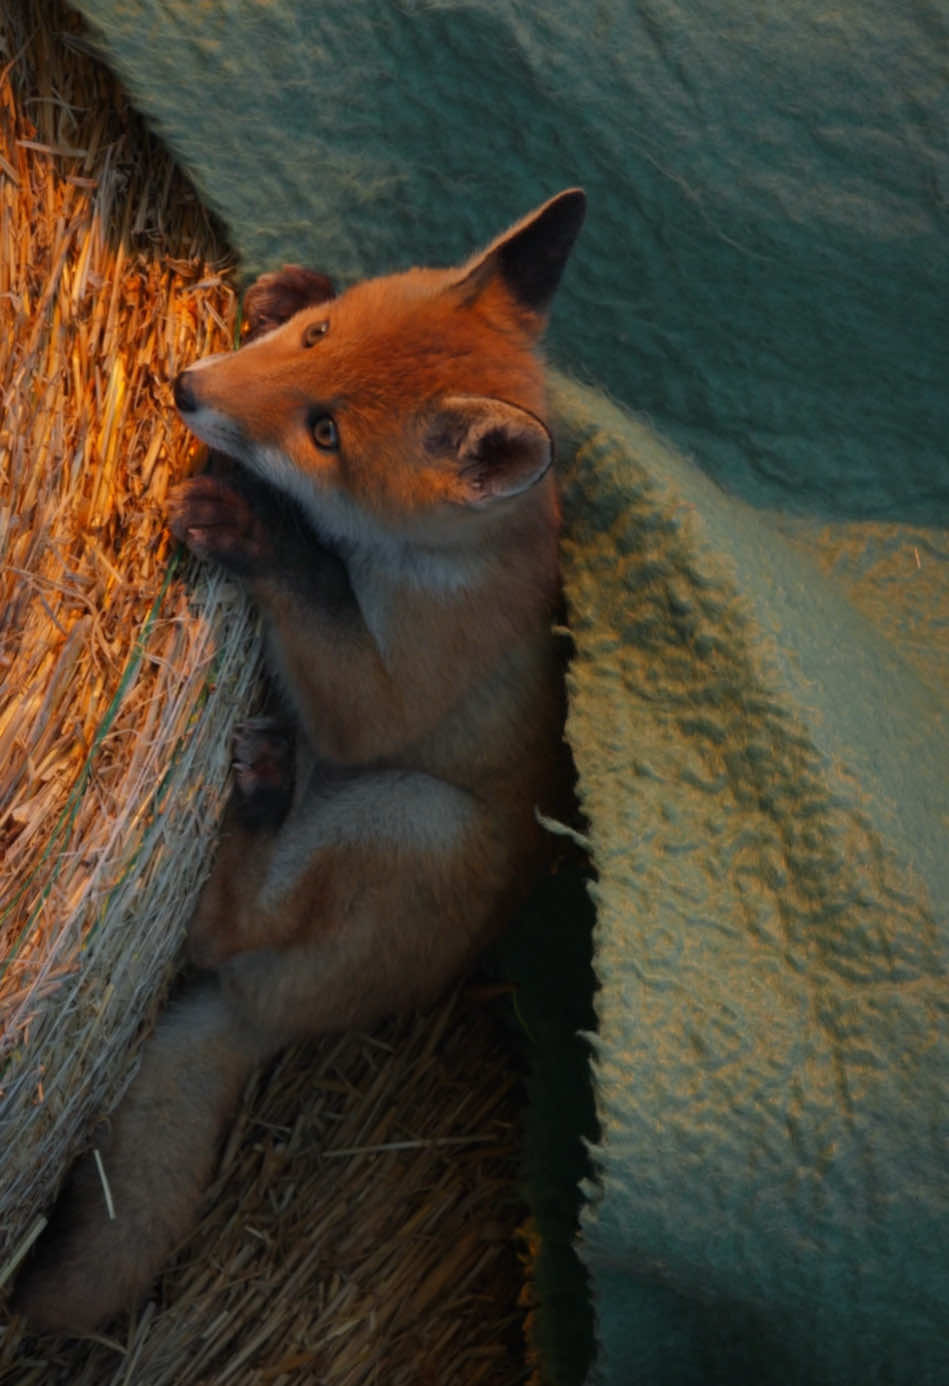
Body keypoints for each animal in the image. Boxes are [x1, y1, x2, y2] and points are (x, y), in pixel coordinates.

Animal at [14, 187, 584, 1330]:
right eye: (318, 342)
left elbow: (321, 606)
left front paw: (258, 532)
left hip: (408, 819)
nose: (185, 388)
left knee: (223, 929)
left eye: (325, 434)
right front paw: (289, 284)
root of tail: (275, 1027)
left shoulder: (389, 698)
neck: (426, 559)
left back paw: (252, 811)